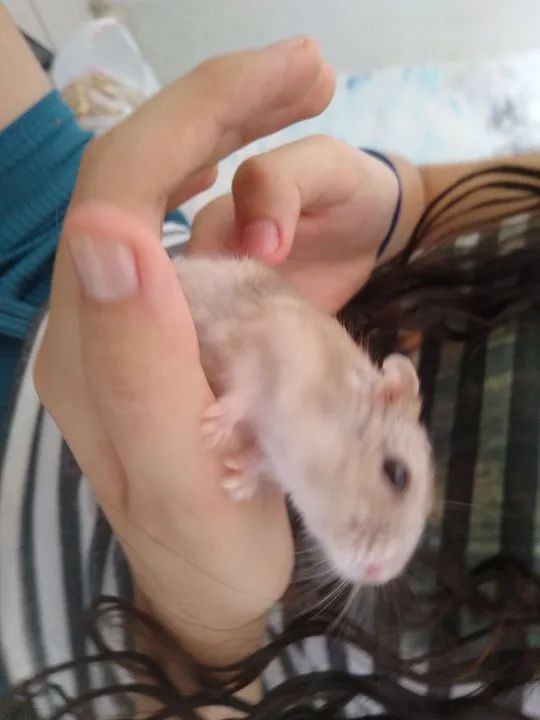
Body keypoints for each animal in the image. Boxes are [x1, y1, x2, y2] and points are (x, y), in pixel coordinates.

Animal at [173, 255, 434, 586]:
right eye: (398, 474)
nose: (377, 575)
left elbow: (262, 462)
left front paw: (238, 484)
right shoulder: (266, 338)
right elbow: (247, 389)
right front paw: (212, 429)